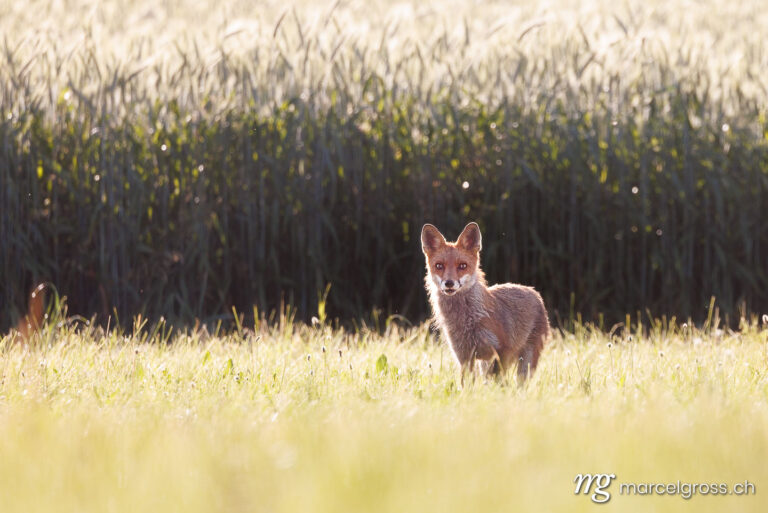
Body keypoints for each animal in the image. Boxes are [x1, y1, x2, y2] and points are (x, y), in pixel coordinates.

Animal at [420, 223, 552, 380]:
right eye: (439, 266)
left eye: (462, 266)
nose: (449, 283)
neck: (468, 321)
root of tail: (533, 291)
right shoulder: (464, 358)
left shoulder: (502, 352)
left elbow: (500, 383)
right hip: (484, 364)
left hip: (525, 362)